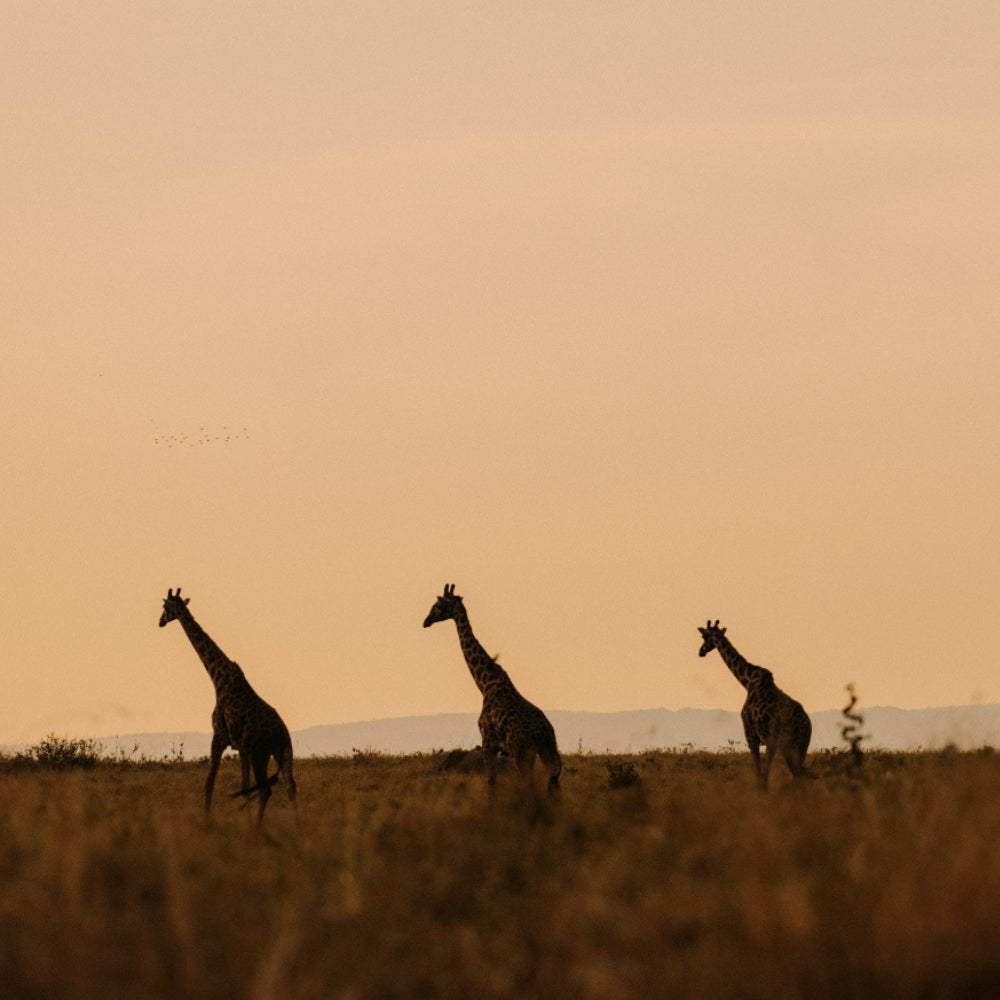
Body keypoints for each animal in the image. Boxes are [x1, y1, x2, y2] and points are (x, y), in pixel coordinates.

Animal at [159, 588, 297, 821]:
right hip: (282, 749)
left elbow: (210, 784)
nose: (160, 622)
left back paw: (254, 825)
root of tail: (279, 732)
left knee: (264, 788)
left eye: (165, 607)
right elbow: (237, 785)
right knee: (289, 786)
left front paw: (207, 822)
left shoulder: (221, 736)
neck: (218, 678)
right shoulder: (238, 745)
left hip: (258, 752)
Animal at [423, 584, 562, 798]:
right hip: (547, 751)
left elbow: (491, 782)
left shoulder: (488, 742)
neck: (485, 682)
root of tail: (543, 732)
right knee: (553, 781)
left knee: (530, 784)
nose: (426, 621)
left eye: (438, 604)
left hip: (521, 753)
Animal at [697, 619, 813, 788]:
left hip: (785, 743)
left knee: (797, 774)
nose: (700, 651)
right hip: (798, 745)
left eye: (704, 636)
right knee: (801, 774)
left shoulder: (752, 734)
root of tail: (808, 725)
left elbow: (760, 775)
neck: (747, 681)